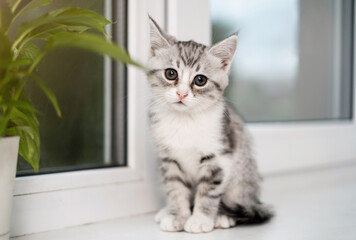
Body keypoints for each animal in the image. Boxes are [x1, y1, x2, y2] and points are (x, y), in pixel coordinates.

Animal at [146, 17, 272, 234]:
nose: (182, 94)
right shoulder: (169, 160)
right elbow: (175, 188)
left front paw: (200, 219)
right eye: (171, 74)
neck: (185, 120)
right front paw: (178, 216)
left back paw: (223, 216)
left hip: (242, 172)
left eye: (200, 80)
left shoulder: (219, 156)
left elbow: (209, 191)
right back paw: (166, 211)